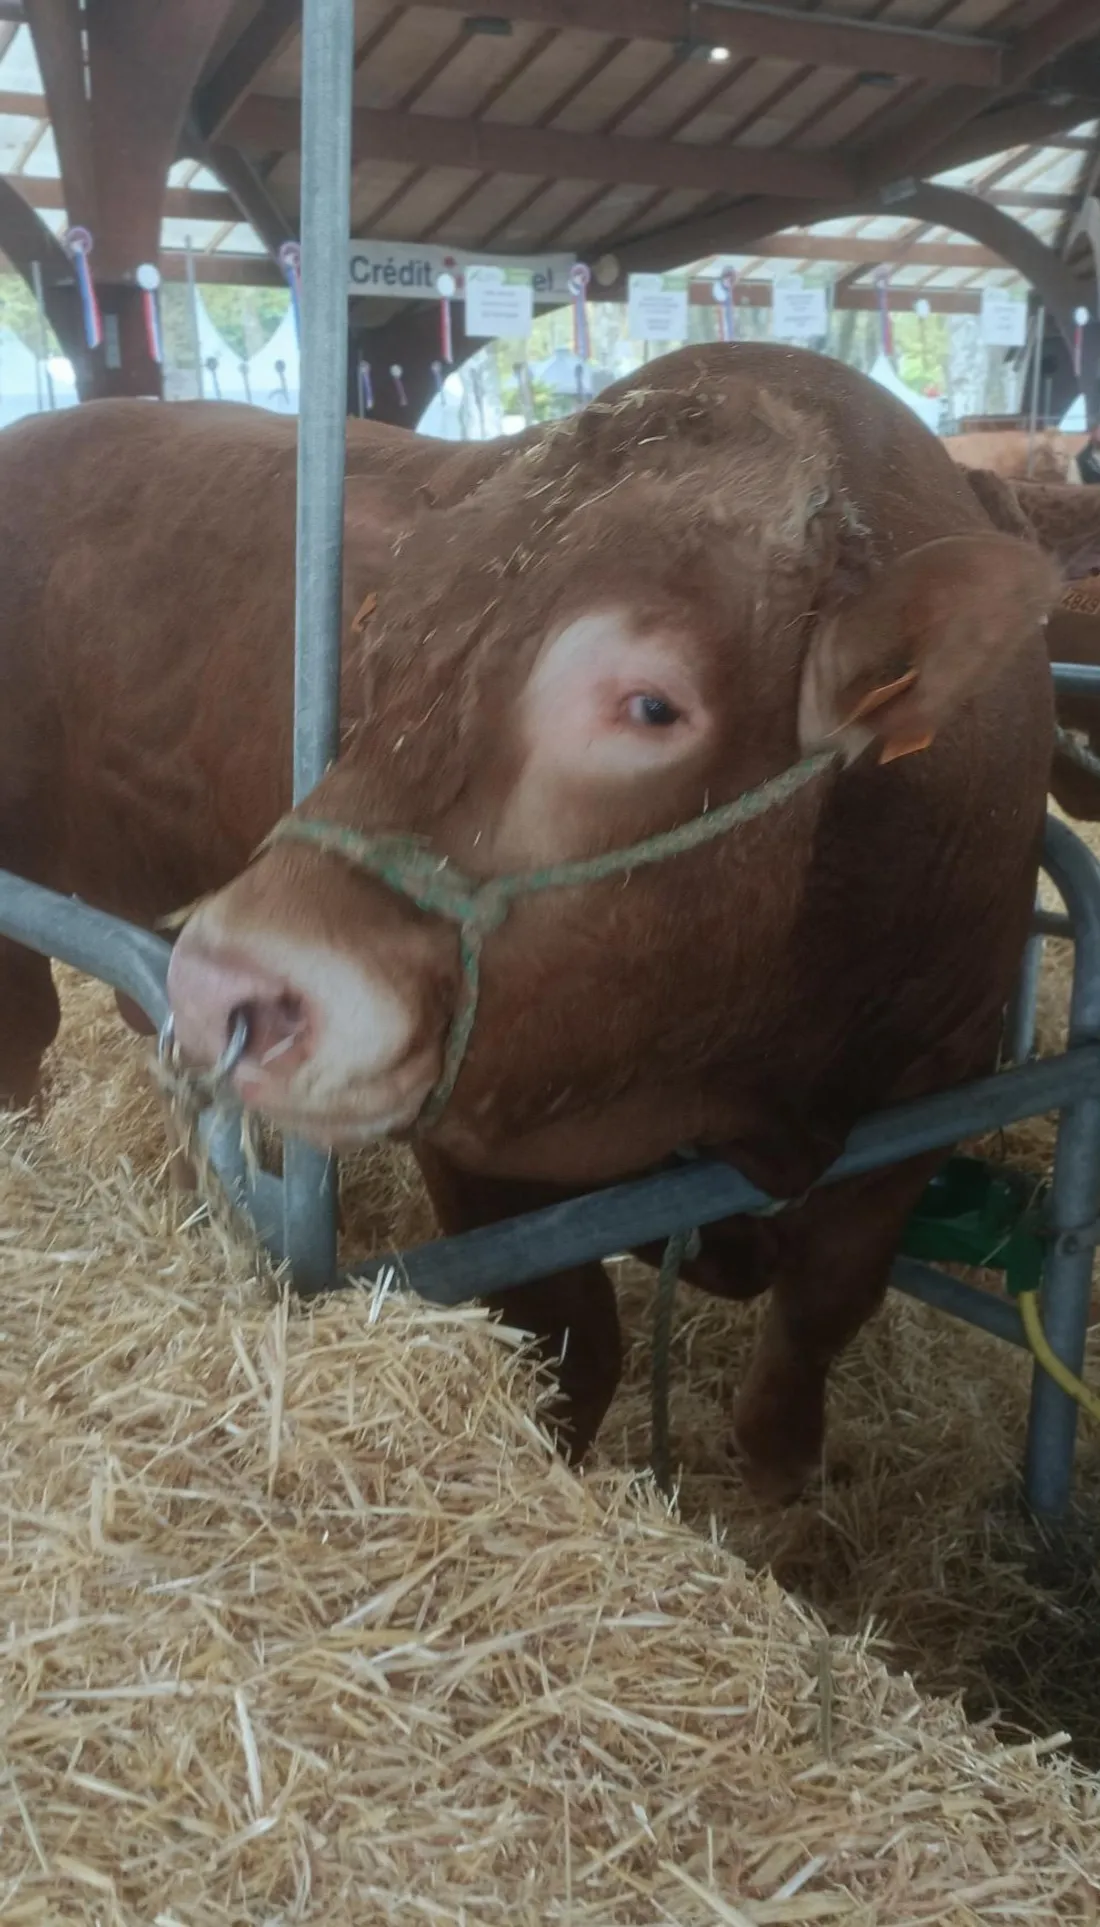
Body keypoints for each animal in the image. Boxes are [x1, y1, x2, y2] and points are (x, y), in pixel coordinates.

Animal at [146, 341, 1062, 1502]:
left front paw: (782, 1465)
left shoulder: (937, 1073)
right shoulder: (472, 1120)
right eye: (378, 653)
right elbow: (567, 1341)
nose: (219, 984)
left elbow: (829, 1295)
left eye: (651, 706)